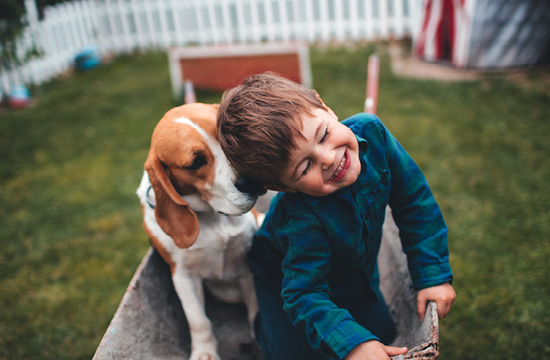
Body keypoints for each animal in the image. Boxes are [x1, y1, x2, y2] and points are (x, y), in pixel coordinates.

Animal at [139, 102, 266, 360]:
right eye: (196, 162)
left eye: (229, 136)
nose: (253, 181)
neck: (212, 217)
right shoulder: (183, 276)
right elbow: (198, 320)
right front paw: (204, 352)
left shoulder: (246, 264)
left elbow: (255, 307)